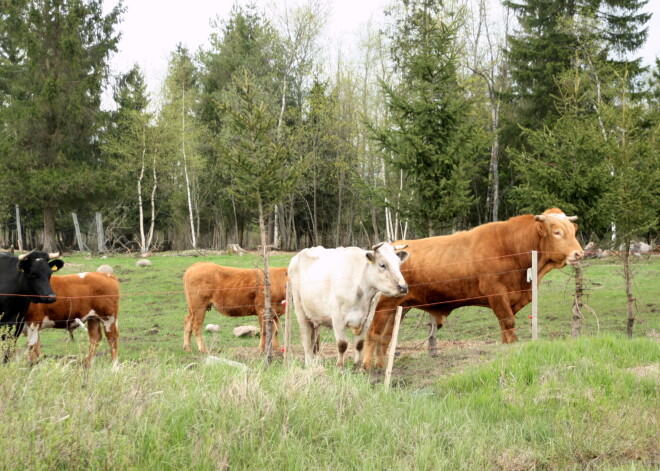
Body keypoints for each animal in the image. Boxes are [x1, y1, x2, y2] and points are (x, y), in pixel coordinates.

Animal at [364, 209, 584, 368]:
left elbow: (504, 326)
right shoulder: (496, 292)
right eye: (557, 232)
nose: (579, 253)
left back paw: (382, 365)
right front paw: (513, 344)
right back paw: (368, 367)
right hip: (383, 304)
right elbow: (508, 322)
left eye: (573, 231)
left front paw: (506, 345)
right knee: (373, 333)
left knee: (385, 337)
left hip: (400, 306)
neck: (511, 247)